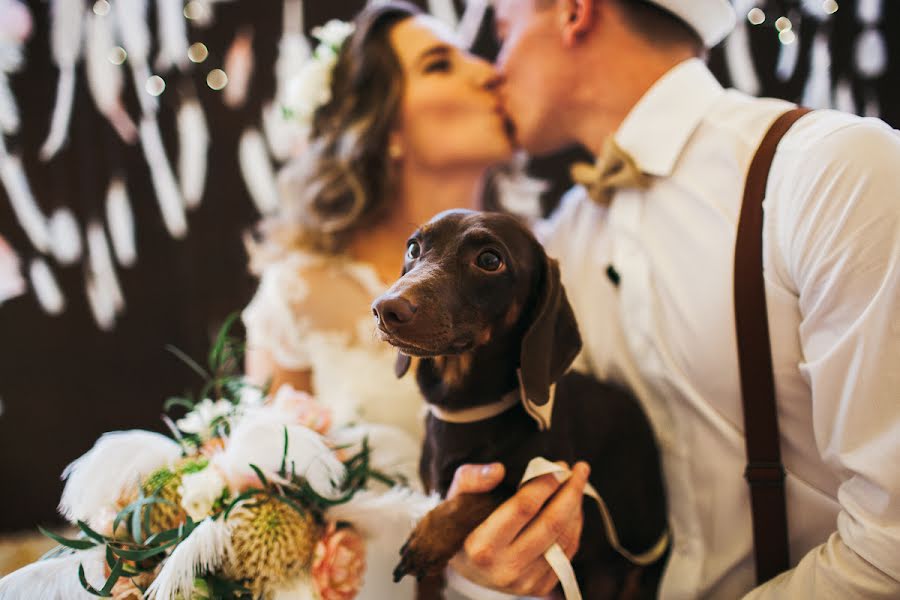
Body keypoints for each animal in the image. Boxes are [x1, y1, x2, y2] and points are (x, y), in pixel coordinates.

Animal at [372, 211, 668, 600]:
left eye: (489, 260)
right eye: (413, 248)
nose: (385, 309)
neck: (469, 413)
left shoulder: (543, 476)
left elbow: (488, 493)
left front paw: (431, 536)